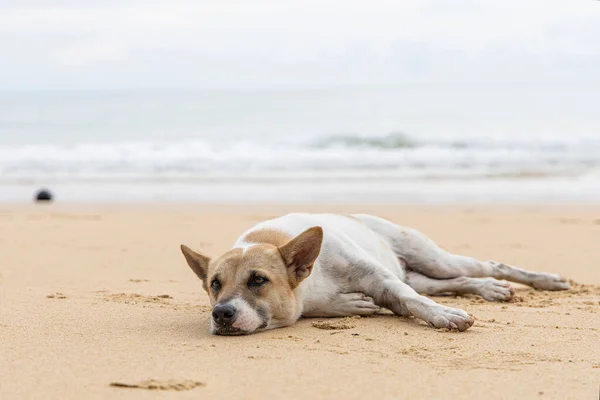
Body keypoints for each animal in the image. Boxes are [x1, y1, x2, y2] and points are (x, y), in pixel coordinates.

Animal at [180, 212, 568, 334]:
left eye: (258, 280)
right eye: (214, 285)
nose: (221, 314)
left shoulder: (380, 279)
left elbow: (413, 301)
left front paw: (445, 317)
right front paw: (350, 305)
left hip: (432, 259)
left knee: (484, 266)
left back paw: (545, 280)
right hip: (423, 274)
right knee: (457, 282)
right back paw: (489, 289)